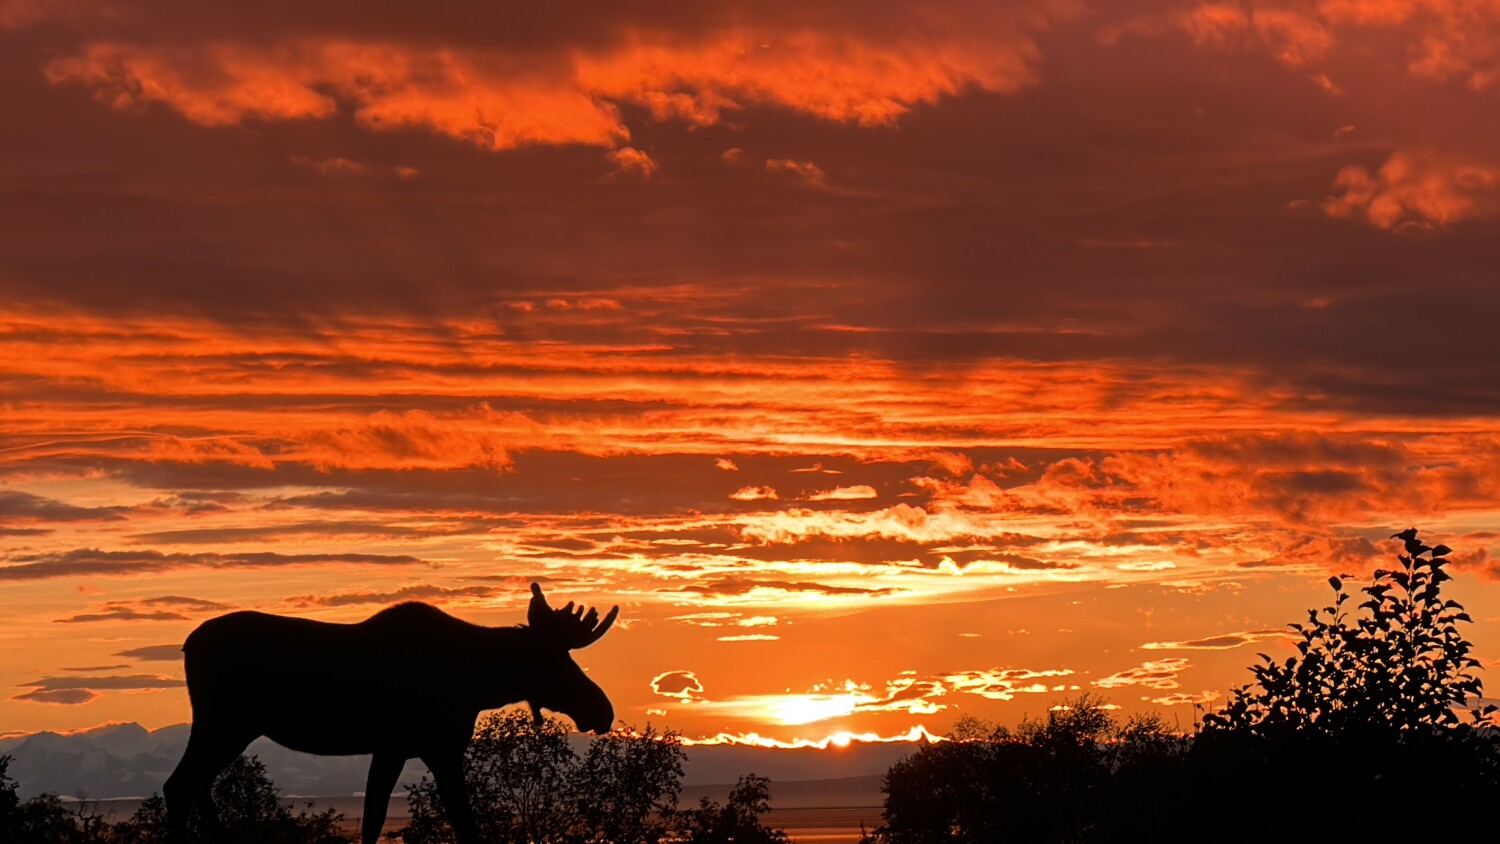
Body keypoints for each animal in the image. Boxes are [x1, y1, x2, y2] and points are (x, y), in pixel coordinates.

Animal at [163, 582, 619, 844]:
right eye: (557, 662)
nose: (604, 709)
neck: (476, 683)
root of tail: (186, 645)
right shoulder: (431, 747)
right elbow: (459, 823)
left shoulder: (398, 748)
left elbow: (374, 819)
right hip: (225, 722)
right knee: (178, 784)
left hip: (229, 726)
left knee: (195, 782)